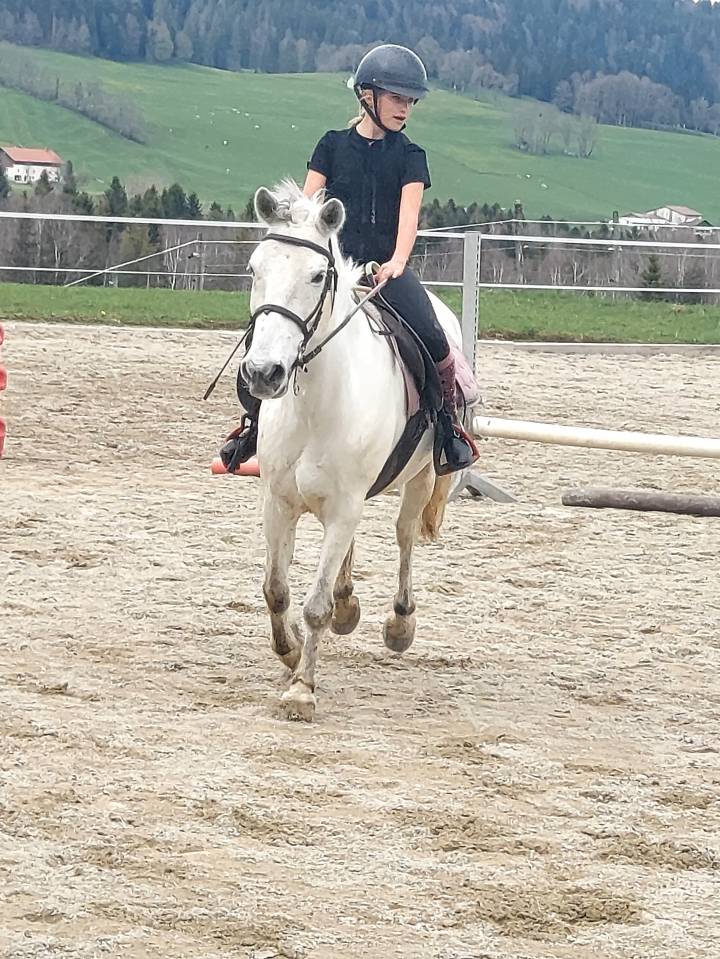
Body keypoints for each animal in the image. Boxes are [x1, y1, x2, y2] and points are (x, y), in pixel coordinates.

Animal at [241, 180, 467, 721]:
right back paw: (349, 606)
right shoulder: (278, 503)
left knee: (404, 534)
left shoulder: (345, 506)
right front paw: (288, 652)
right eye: (255, 269)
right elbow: (275, 590)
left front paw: (302, 689)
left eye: (317, 274)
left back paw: (399, 623)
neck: (315, 405)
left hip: (419, 478)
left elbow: (314, 604)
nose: (263, 373)